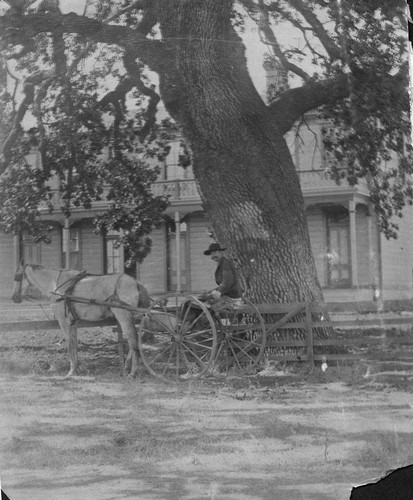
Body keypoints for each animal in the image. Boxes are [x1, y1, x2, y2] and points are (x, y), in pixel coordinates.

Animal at [12, 264, 151, 376]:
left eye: (18, 277)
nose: (14, 297)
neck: (56, 283)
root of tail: (135, 281)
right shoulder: (73, 322)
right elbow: (74, 343)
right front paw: (77, 368)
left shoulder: (63, 321)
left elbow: (69, 343)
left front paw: (71, 371)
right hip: (129, 318)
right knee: (134, 341)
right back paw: (127, 368)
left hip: (124, 317)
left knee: (133, 342)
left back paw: (133, 372)